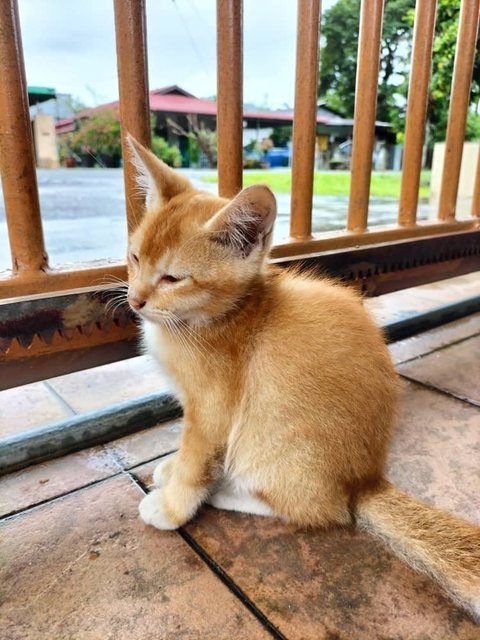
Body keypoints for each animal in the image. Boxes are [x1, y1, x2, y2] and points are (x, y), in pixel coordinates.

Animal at [126, 135, 480, 620]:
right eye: (135, 257)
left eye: (173, 278)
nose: (135, 300)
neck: (216, 317)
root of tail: (366, 480)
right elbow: (188, 451)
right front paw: (173, 469)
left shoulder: (212, 408)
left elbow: (197, 459)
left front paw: (174, 506)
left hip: (270, 440)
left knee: (322, 510)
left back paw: (226, 491)